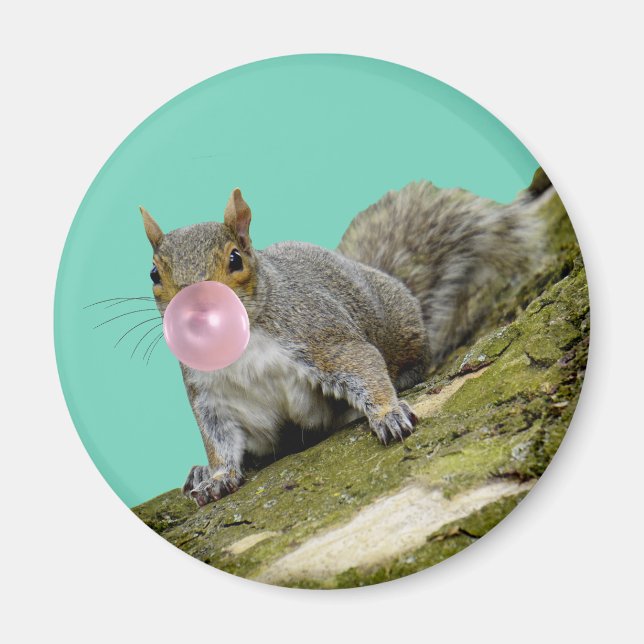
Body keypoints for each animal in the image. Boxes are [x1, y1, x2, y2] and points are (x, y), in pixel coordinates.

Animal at [139, 169, 551, 506]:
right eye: (154, 274)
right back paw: (199, 472)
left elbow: (362, 363)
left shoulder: (319, 335)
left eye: (235, 259)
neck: (242, 344)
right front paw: (218, 475)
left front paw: (387, 414)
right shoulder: (211, 395)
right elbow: (219, 439)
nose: (196, 308)